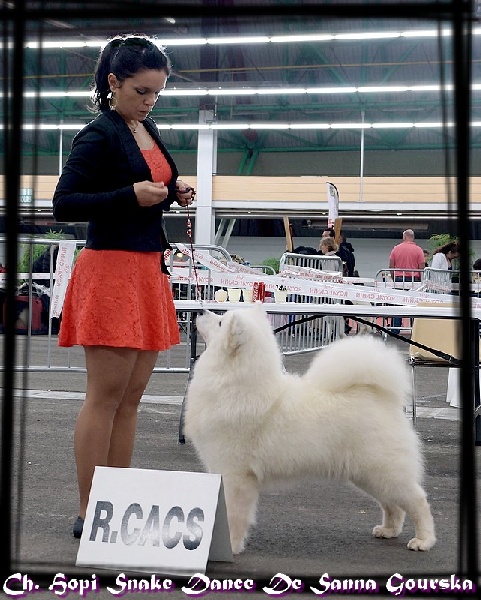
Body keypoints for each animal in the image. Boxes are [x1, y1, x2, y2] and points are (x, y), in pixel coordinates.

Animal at [184, 302, 436, 556]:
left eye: (220, 322)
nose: (200, 310)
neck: (236, 383)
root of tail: (379, 397)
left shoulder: (236, 476)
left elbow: (234, 516)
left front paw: (232, 546)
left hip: (384, 471)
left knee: (418, 501)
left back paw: (423, 540)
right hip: (368, 476)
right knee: (392, 504)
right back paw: (388, 530)